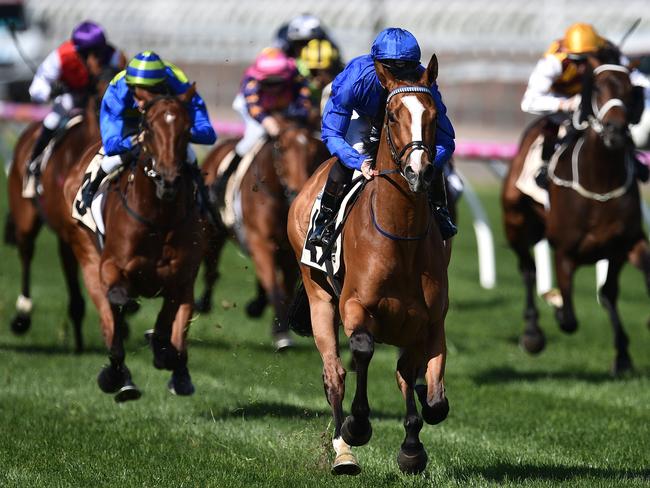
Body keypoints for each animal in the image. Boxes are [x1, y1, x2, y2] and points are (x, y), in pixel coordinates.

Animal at [61, 87, 204, 400]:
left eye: (188, 128)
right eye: (148, 126)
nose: (168, 179)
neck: (159, 218)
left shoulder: (181, 277)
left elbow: (169, 326)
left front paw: (165, 353)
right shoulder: (111, 267)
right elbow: (117, 303)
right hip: (85, 249)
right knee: (109, 318)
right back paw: (120, 378)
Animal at [196, 116, 330, 348]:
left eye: (315, 150)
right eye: (282, 148)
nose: (296, 191)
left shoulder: (288, 251)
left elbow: (284, 289)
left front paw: (278, 327)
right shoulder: (260, 241)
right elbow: (275, 288)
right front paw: (281, 334)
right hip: (211, 231)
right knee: (212, 268)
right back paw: (204, 303)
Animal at [286, 55, 448, 474]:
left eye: (434, 114)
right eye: (392, 115)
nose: (419, 171)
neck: (400, 237)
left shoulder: (429, 321)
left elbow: (425, 391)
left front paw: (412, 448)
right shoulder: (355, 306)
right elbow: (361, 351)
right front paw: (358, 426)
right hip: (319, 298)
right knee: (335, 374)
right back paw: (343, 451)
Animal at [502, 53, 648, 376]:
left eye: (631, 91)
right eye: (596, 88)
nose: (615, 131)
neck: (601, 183)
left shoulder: (623, 245)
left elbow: (609, 292)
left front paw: (623, 356)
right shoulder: (565, 253)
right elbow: (568, 318)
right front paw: (554, 304)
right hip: (515, 222)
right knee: (527, 269)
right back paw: (532, 332)